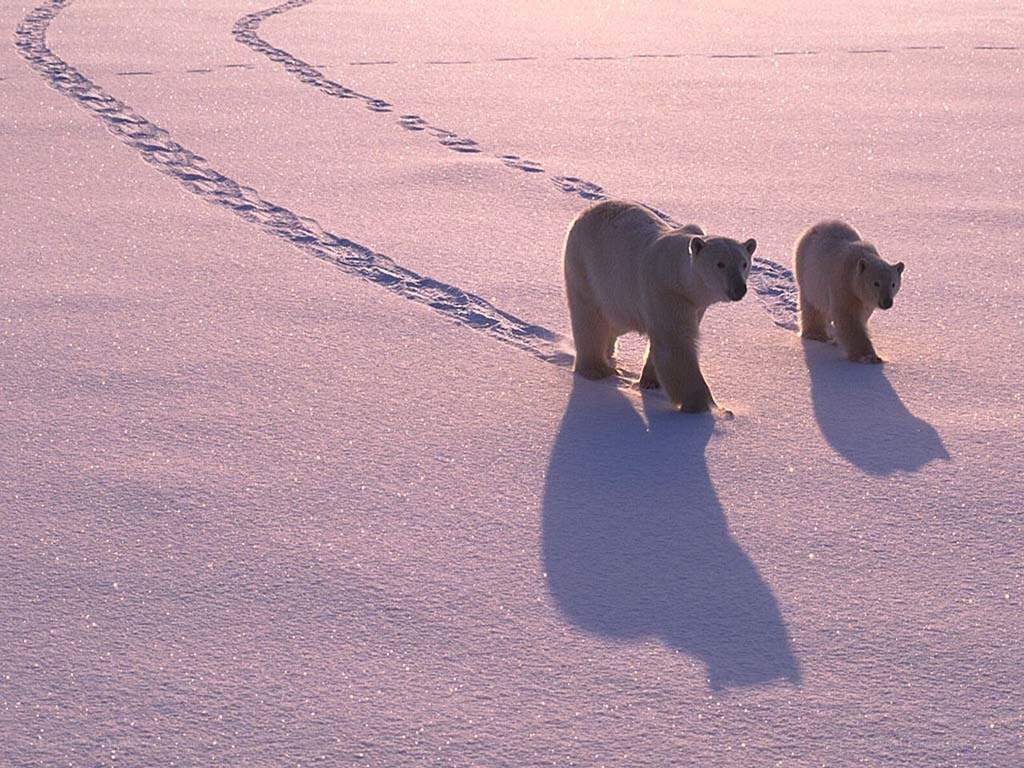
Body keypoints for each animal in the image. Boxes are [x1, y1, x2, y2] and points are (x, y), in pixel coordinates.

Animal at [563, 199, 756, 414]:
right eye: (720, 264)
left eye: (744, 263)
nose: (739, 288)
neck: (679, 275)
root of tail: (586, 212)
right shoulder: (666, 292)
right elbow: (675, 343)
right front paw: (702, 405)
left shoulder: (695, 305)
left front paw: (650, 381)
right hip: (586, 265)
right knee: (589, 316)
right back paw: (597, 369)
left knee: (615, 321)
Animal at [794, 220, 904, 364]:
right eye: (876, 283)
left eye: (893, 284)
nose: (887, 302)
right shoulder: (844, 286)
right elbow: (849, 318)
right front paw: (869, 357)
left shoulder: (865, 300)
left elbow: (861, 316)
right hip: (806, 270)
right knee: (811, 305)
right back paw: (816, 334)